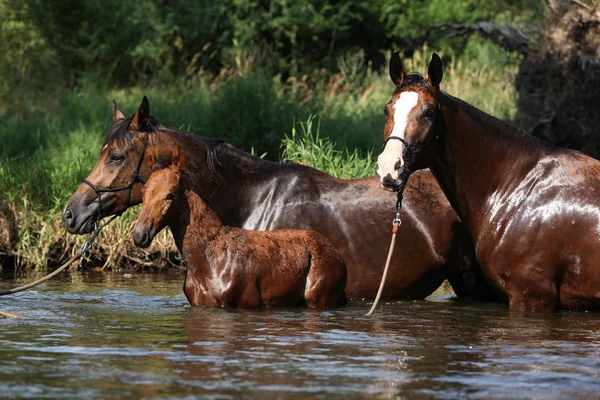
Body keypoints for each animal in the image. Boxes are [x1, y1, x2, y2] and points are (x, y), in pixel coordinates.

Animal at [131, 147, 346, 310]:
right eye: (143, 191)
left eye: (171, 194)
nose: (139, 234)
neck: (202, 262)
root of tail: (340, 259)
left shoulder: (247, 302)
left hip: (319, 297)